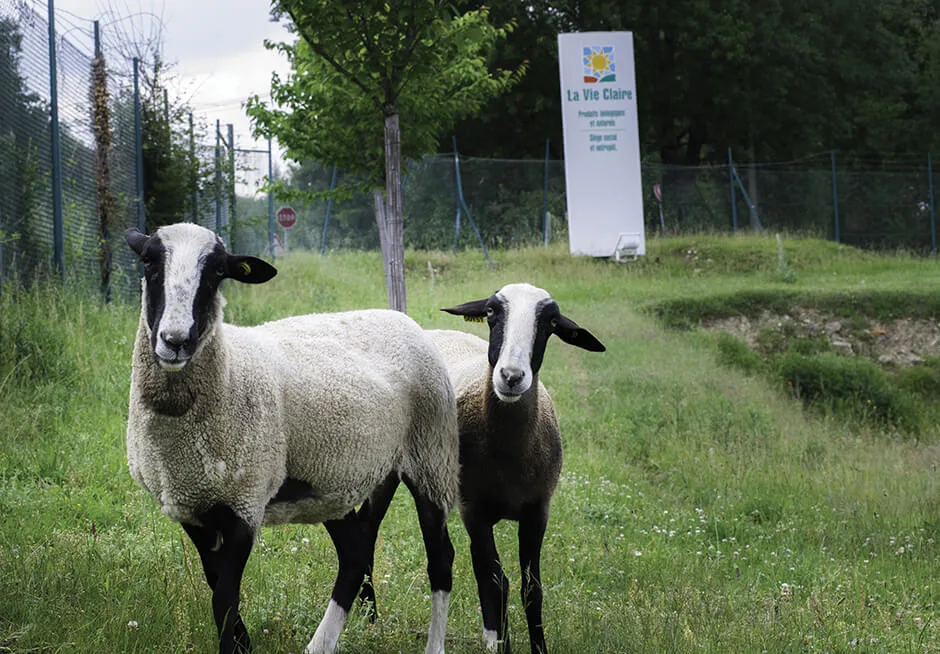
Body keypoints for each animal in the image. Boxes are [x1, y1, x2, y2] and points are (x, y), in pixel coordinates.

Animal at [123, 226, 460, 654]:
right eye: (149, 261)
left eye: (217, 272)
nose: (175, 340)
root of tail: (403, 319)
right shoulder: (191, 507)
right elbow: (217, 589)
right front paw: (244, 645)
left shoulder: (245, 502)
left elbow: (224, 597)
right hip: (343, 478)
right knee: (355, 554)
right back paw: (324, 643)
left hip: (432, 455)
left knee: (440, 557)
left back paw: (432, 644)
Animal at [356, 284, 604, 654]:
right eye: (490, 312)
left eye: (551, 322)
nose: (511, 377)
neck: (510, 455)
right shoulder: (474, 511)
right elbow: (495, 583)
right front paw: (503, 644)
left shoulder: (538, 510)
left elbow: (531, 589)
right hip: (394, 470)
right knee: (368, 528)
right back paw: (369, 615)